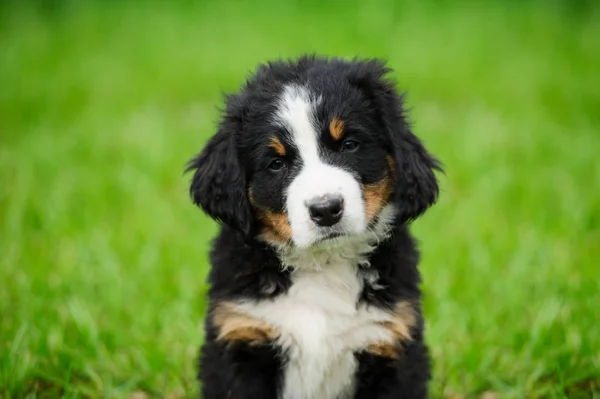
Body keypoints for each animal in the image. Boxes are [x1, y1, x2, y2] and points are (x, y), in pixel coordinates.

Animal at [185, 54, 442, 399]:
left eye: (349, 144)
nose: (326, 209)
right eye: (276, 163)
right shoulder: (240, 336)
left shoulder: (392, 342)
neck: (324, 265)